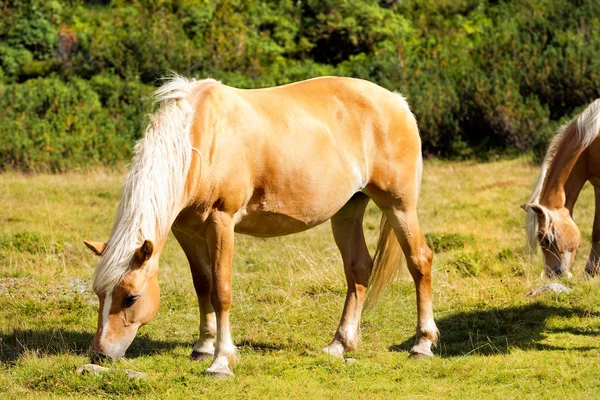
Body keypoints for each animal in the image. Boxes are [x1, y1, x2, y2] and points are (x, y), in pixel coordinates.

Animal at [83, 74, 436, 376]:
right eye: (99, 293)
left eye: (131, 297)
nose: (100, 355)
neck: (199, 139)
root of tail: (397, 101)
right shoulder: (186, 231)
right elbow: (203, 284)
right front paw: (202, 347)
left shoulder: (221, 222)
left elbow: (221, 290)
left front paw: (220, 361)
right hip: (348, 211)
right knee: (358, 268)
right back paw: (339, 344)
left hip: (399, 207)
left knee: (419, 261)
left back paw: (422, 344)